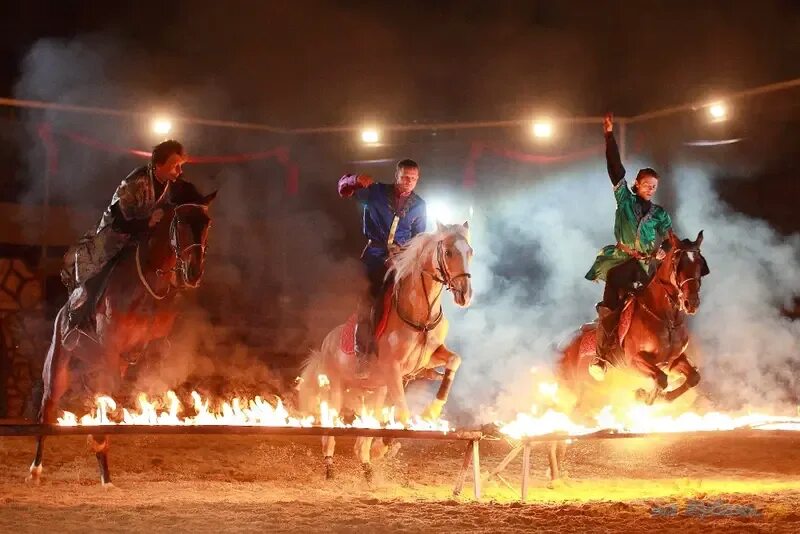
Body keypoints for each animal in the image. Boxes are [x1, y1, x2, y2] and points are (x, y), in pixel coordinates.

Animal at [28, 186, 217, 488]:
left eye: (207, 223)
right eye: (180, 222)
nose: (193, 273)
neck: (148, 283)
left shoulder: (145, 346)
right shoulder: (110, 347)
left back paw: (103, 468)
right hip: (58, 365)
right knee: (48, 407)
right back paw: (37, 468)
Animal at [300, 222, 476, 482]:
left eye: (470, 252)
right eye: (448, 252)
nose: (465, 295)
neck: (420, 315)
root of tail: (325, 345)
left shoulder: (428, 359)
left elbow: (454, 360)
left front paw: (432, 411)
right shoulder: (393, 369)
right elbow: (402, 413)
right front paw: (386, 444)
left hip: (376, 390)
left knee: (366, 429)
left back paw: (367, 466)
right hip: (336, 388)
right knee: (330, 422)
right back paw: (330, 464)